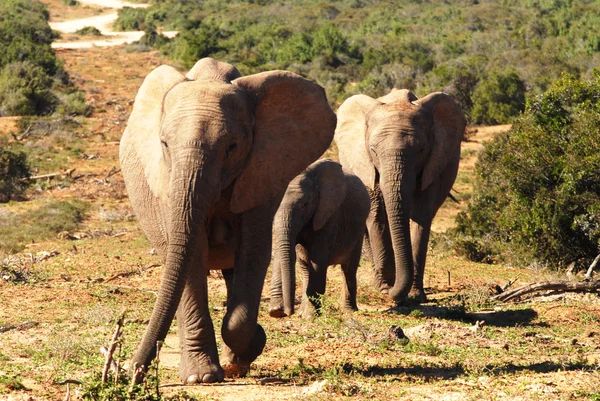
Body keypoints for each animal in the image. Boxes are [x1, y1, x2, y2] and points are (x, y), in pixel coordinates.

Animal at [119, 57, 336, 382]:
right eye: (165, 144)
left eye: (232, 147)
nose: (129, 372)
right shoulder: (166, 186)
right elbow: (191, 254)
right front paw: (201, 378)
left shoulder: (261, 175)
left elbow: (253, 252)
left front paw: (249, 349)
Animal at [268, 158, 370, 318]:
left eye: (305, 204)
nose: (287, 312)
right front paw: (277, 311)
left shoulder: (329, 215)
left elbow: (317, 259)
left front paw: (310, 316)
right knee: (305, 268)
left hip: (358, 229)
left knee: (348, 269)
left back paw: (348, 311)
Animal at [336, 88, 466, 304]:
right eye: (373, 150)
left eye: (421, 150)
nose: (391, 293)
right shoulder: (366, 165)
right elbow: (377, 215)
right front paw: (385, 289)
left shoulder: (431, 165)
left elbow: (420, 218)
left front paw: (414, 295)